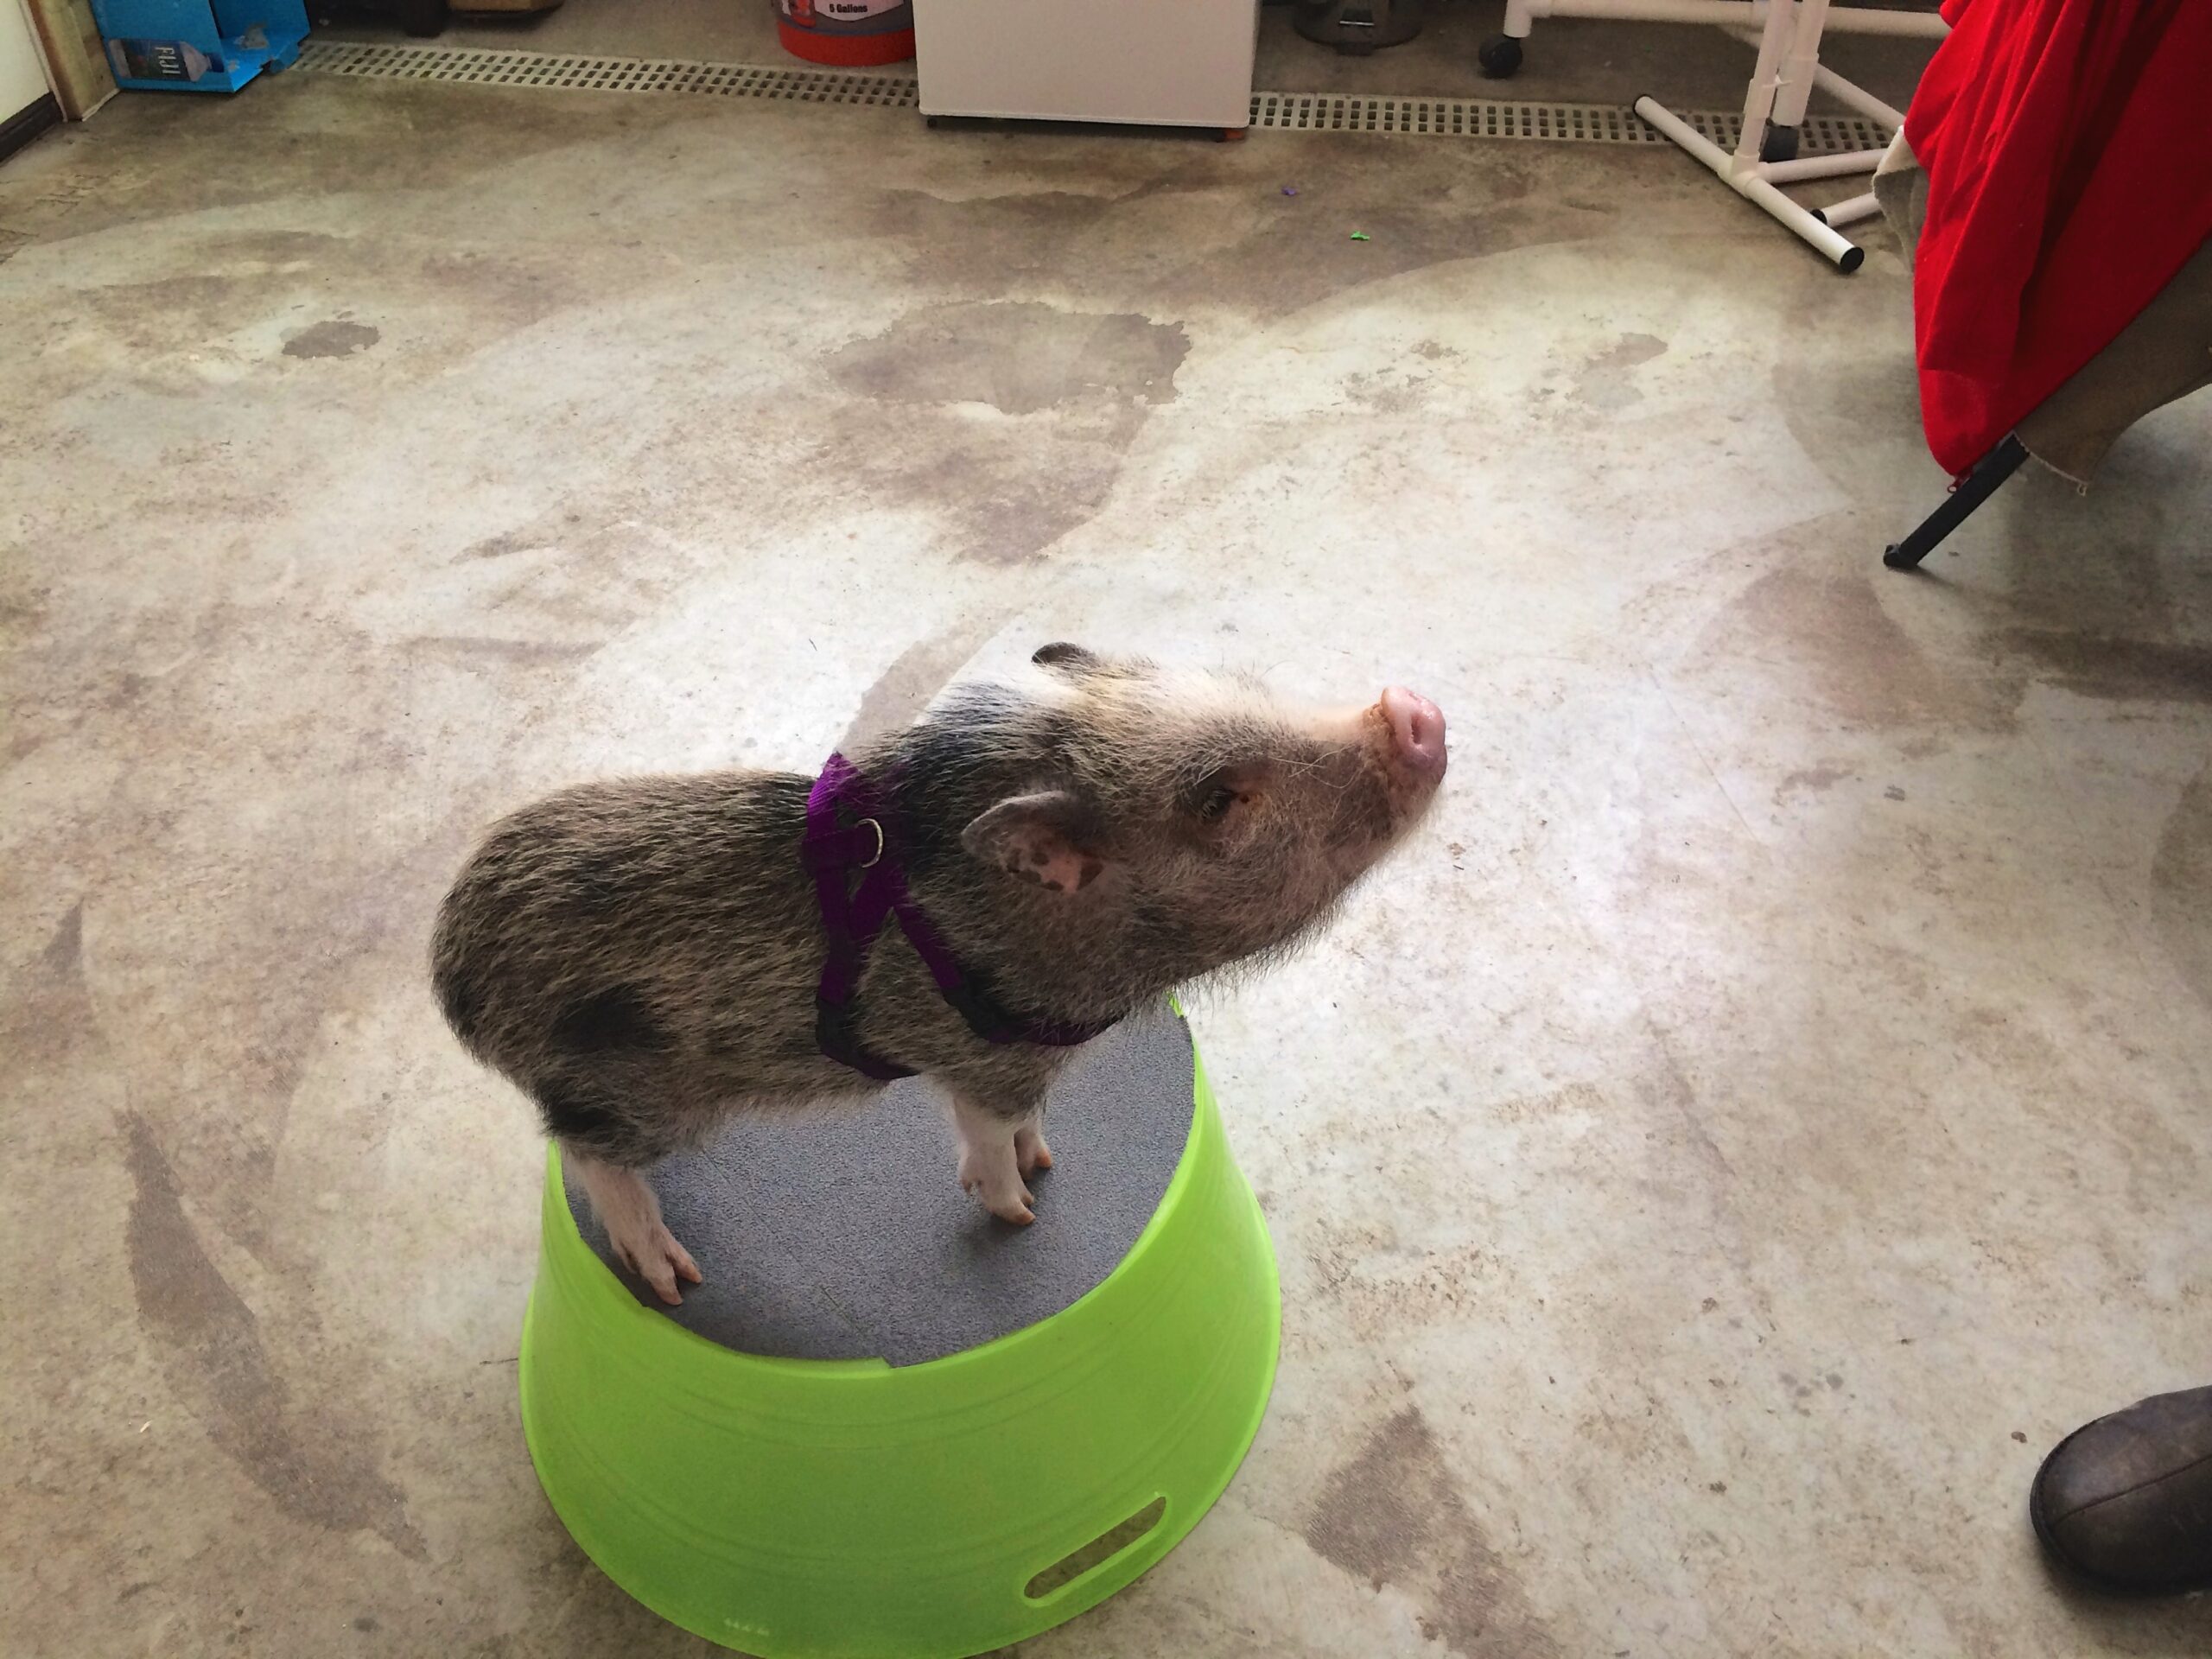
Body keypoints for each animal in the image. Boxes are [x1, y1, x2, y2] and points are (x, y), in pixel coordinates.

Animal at [430, 644, 1446, 1303]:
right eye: (1219, 800)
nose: (1413, 708)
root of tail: (451, 972)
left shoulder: (1001, 1066)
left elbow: (1008, 1128)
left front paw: (1046, 1163)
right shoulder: (989, 1058)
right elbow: (988, 1142)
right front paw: (1020, 1215)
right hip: (629, 1095)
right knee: (584, 1156)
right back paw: (676, 1281)